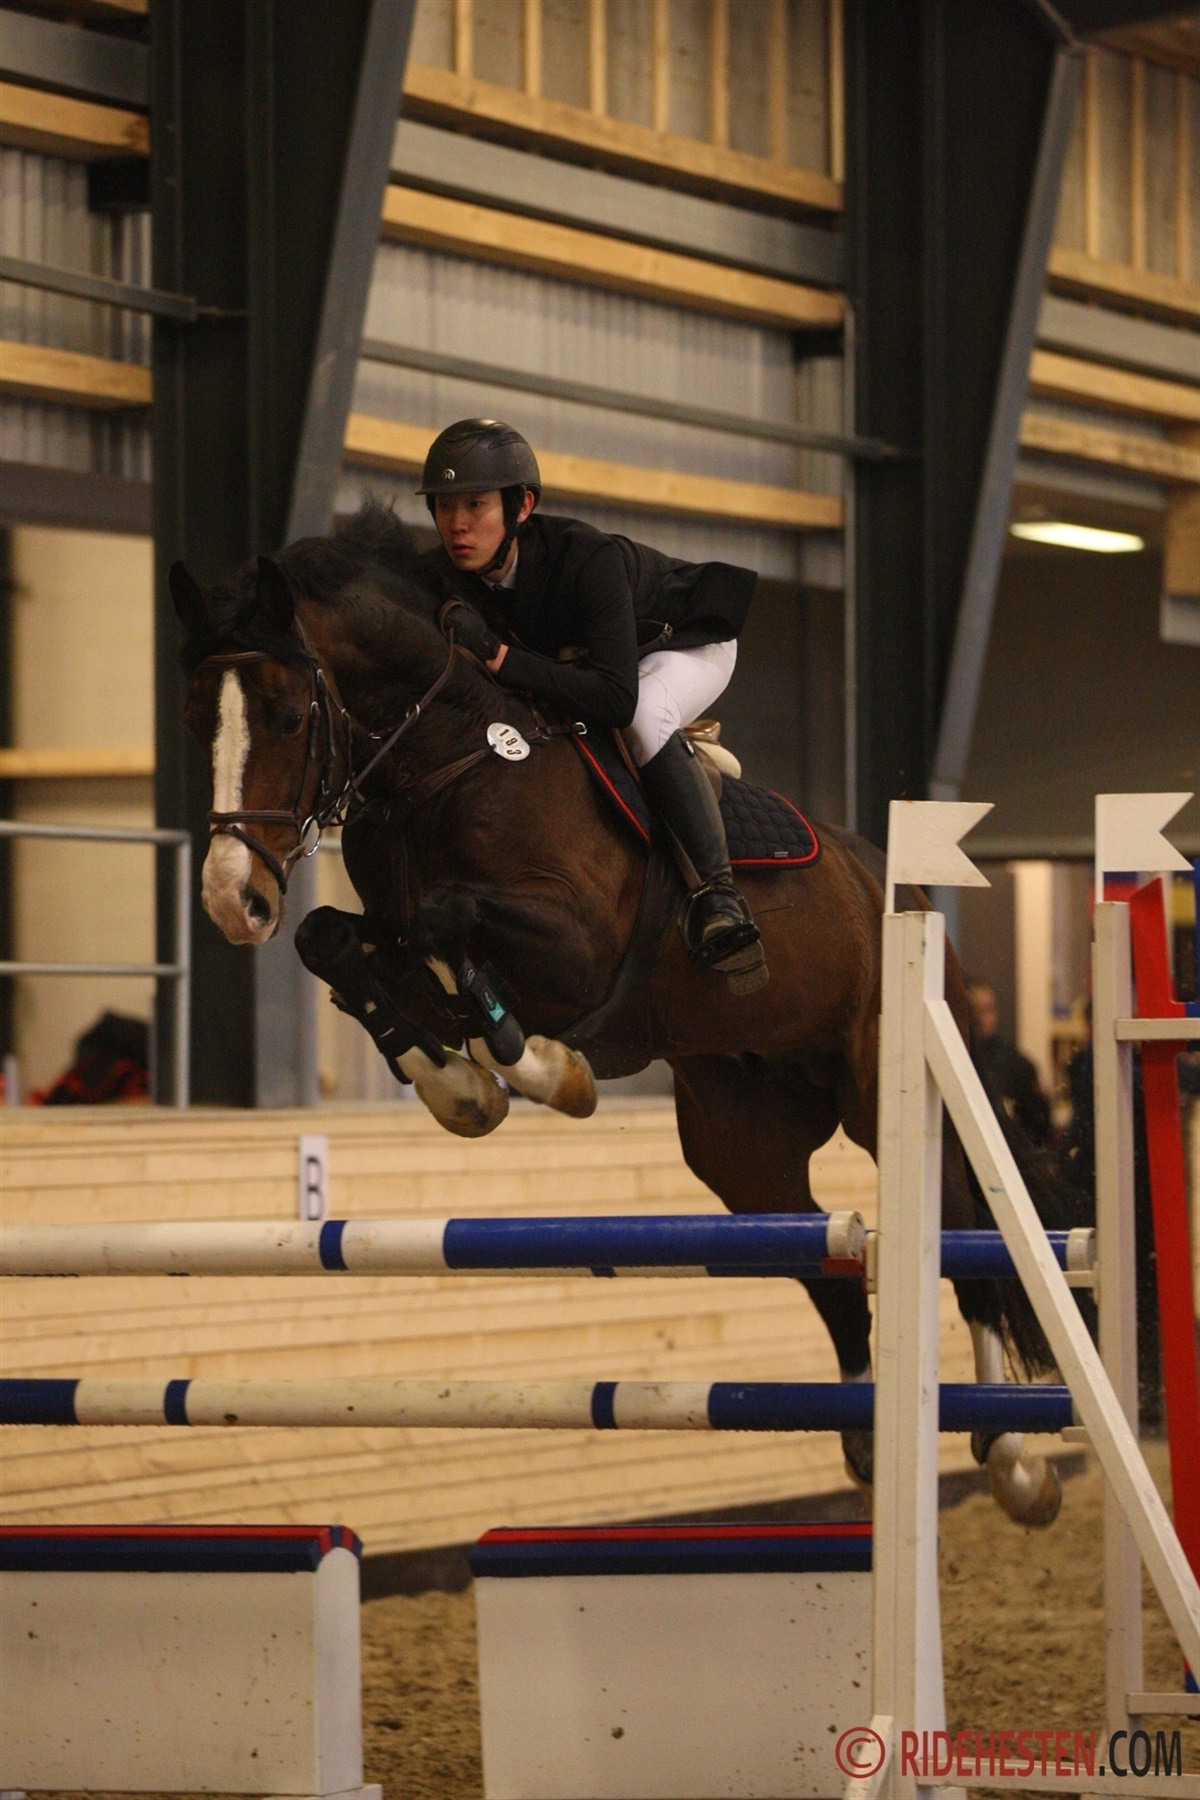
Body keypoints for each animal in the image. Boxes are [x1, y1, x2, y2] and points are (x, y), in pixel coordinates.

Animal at [172, 500, 1083, 1527]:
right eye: (195, 719)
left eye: (290, 716)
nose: (231, 899)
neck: (444, 756)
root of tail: (908, 899)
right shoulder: (387, 922)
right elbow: (338, 940)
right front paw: (460, 1088)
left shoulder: (576, 946)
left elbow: (447, 921)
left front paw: (542, 1069)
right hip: (744, 1141)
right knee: (829, 1261)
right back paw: (868, 1436)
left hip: (886, 1089)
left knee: (967, 1232)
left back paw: (1013, 1460)